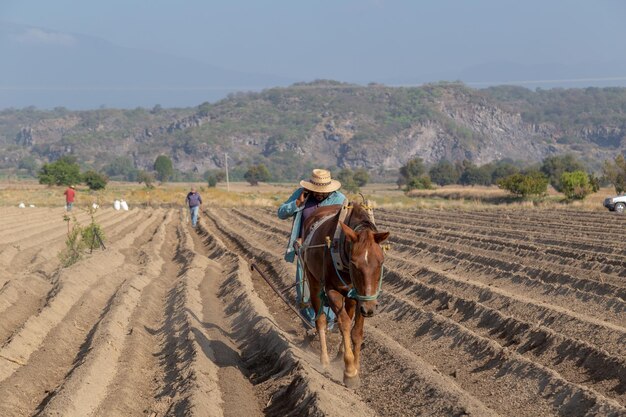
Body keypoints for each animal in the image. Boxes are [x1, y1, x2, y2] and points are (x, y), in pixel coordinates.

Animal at [300, 202, 388, 386]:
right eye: (354, 263)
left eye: (381, 262)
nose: (370, 309)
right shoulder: (332, 291)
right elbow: (345, 324)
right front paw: (350, 372)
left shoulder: (360, 297)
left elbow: (357, 331)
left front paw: (355, 365)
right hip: (313, 280)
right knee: (320, 320)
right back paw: (325, 359)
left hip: (351, 298)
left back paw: (340, 353)